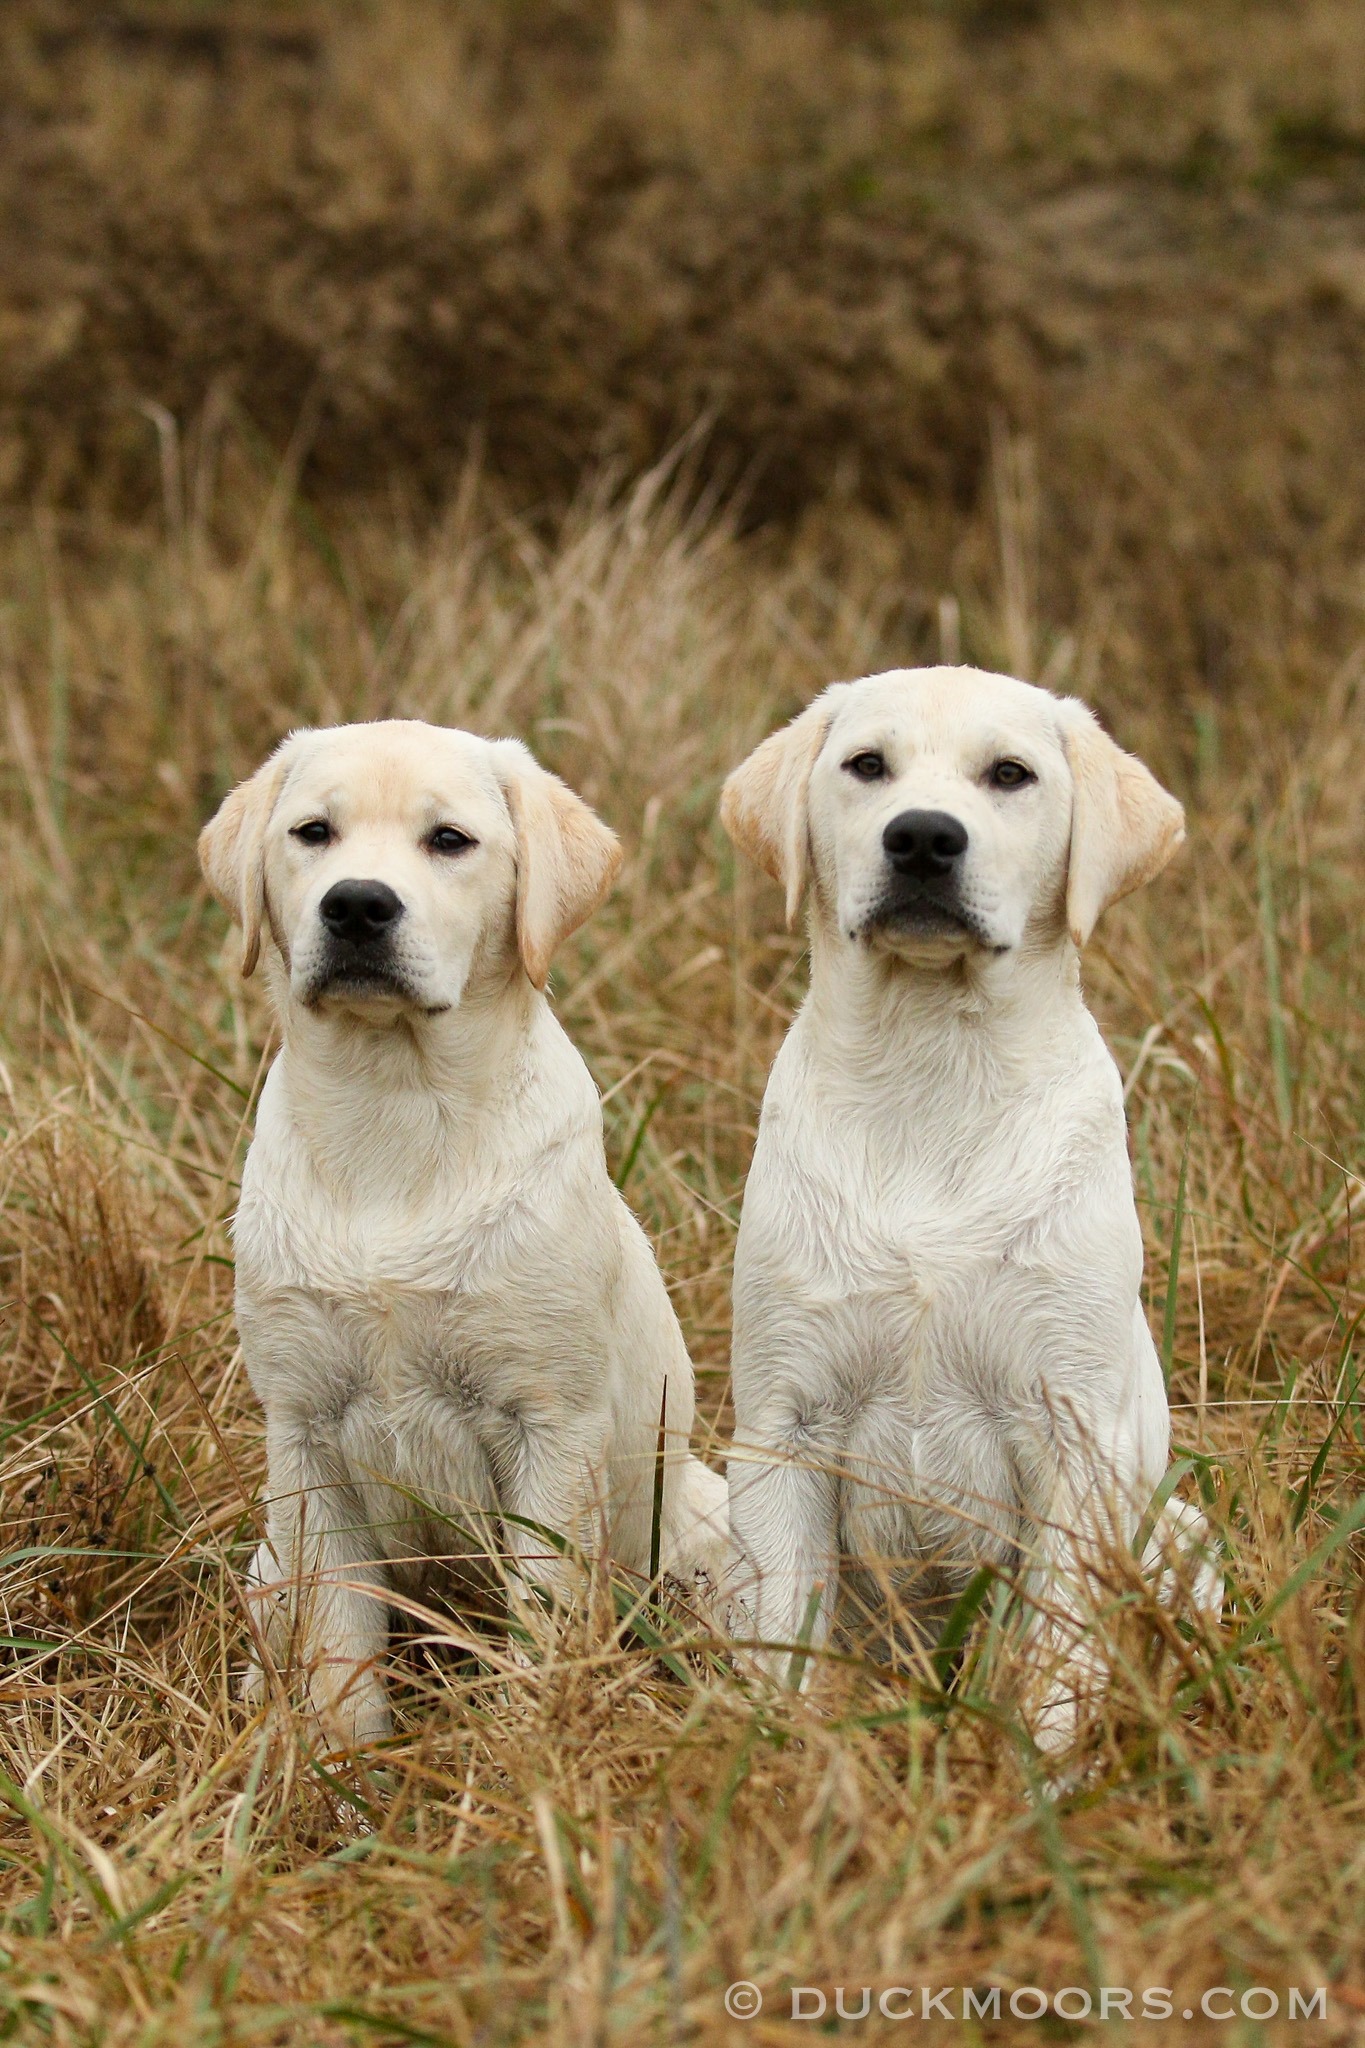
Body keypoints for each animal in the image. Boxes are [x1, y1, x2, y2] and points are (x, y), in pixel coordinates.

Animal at [198, 720, 732, 1744]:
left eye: (449, 840)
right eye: (312, 832)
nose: (357, 905)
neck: (394, 1111)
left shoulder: (549, 1426)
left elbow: (541, 1618)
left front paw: (526, 1748)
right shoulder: (304, 1437)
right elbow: (341, 1655)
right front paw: (341, 1776)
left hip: (703, 1519)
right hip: (268, 1557)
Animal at [720, 667, 1219, 1744]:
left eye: (1010, 775)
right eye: (866, 765)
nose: (921, 838)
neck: (931, 1065)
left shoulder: (1075, 1434)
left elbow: (1056, 1658)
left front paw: (1038, 1769)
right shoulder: (783, 1426)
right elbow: (789, 1645)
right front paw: (785, 1759)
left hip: (1184, 1532)